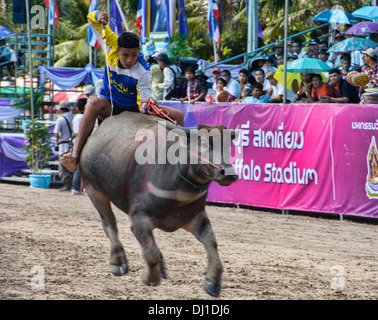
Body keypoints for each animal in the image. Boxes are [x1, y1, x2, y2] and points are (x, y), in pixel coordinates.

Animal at [80, 111, 238, 296]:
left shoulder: (196, 218)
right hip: (94, 189)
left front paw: (212, 281)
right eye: (204, 144)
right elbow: (150, 252)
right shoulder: (139, 217)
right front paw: (150, 277)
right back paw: (117, 261)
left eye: (228, 146)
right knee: (109, 224)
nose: (229, 174)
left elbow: (212, 244)